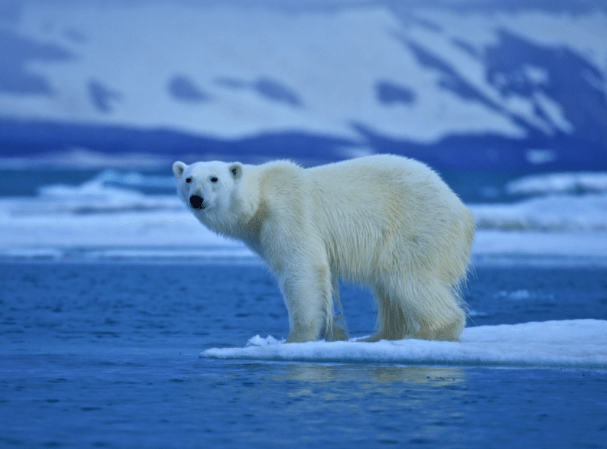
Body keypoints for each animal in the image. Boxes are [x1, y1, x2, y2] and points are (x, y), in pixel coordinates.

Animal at [171, 155, 476, 344]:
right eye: (188, 179)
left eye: (214, 179)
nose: (196, 199)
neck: (259, 202)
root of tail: (463, 211)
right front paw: (335, 332)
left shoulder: (290, 212)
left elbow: (302, 269)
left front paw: (295, 338)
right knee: (388, 288)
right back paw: (379, 335)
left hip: (416, 226)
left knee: (408, 278)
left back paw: (430, 332)